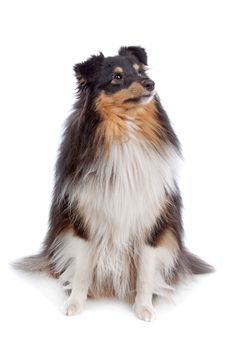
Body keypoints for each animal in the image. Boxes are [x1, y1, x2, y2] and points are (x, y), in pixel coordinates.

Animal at [14, 45, 213, 320]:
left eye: (140, 72)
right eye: (117, 77)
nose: (151, 84)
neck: (124, 130)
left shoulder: (150, 220)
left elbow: (145, 272)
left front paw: (144, 308)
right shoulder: (83, 218)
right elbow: (82, 268)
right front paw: (75, 303)